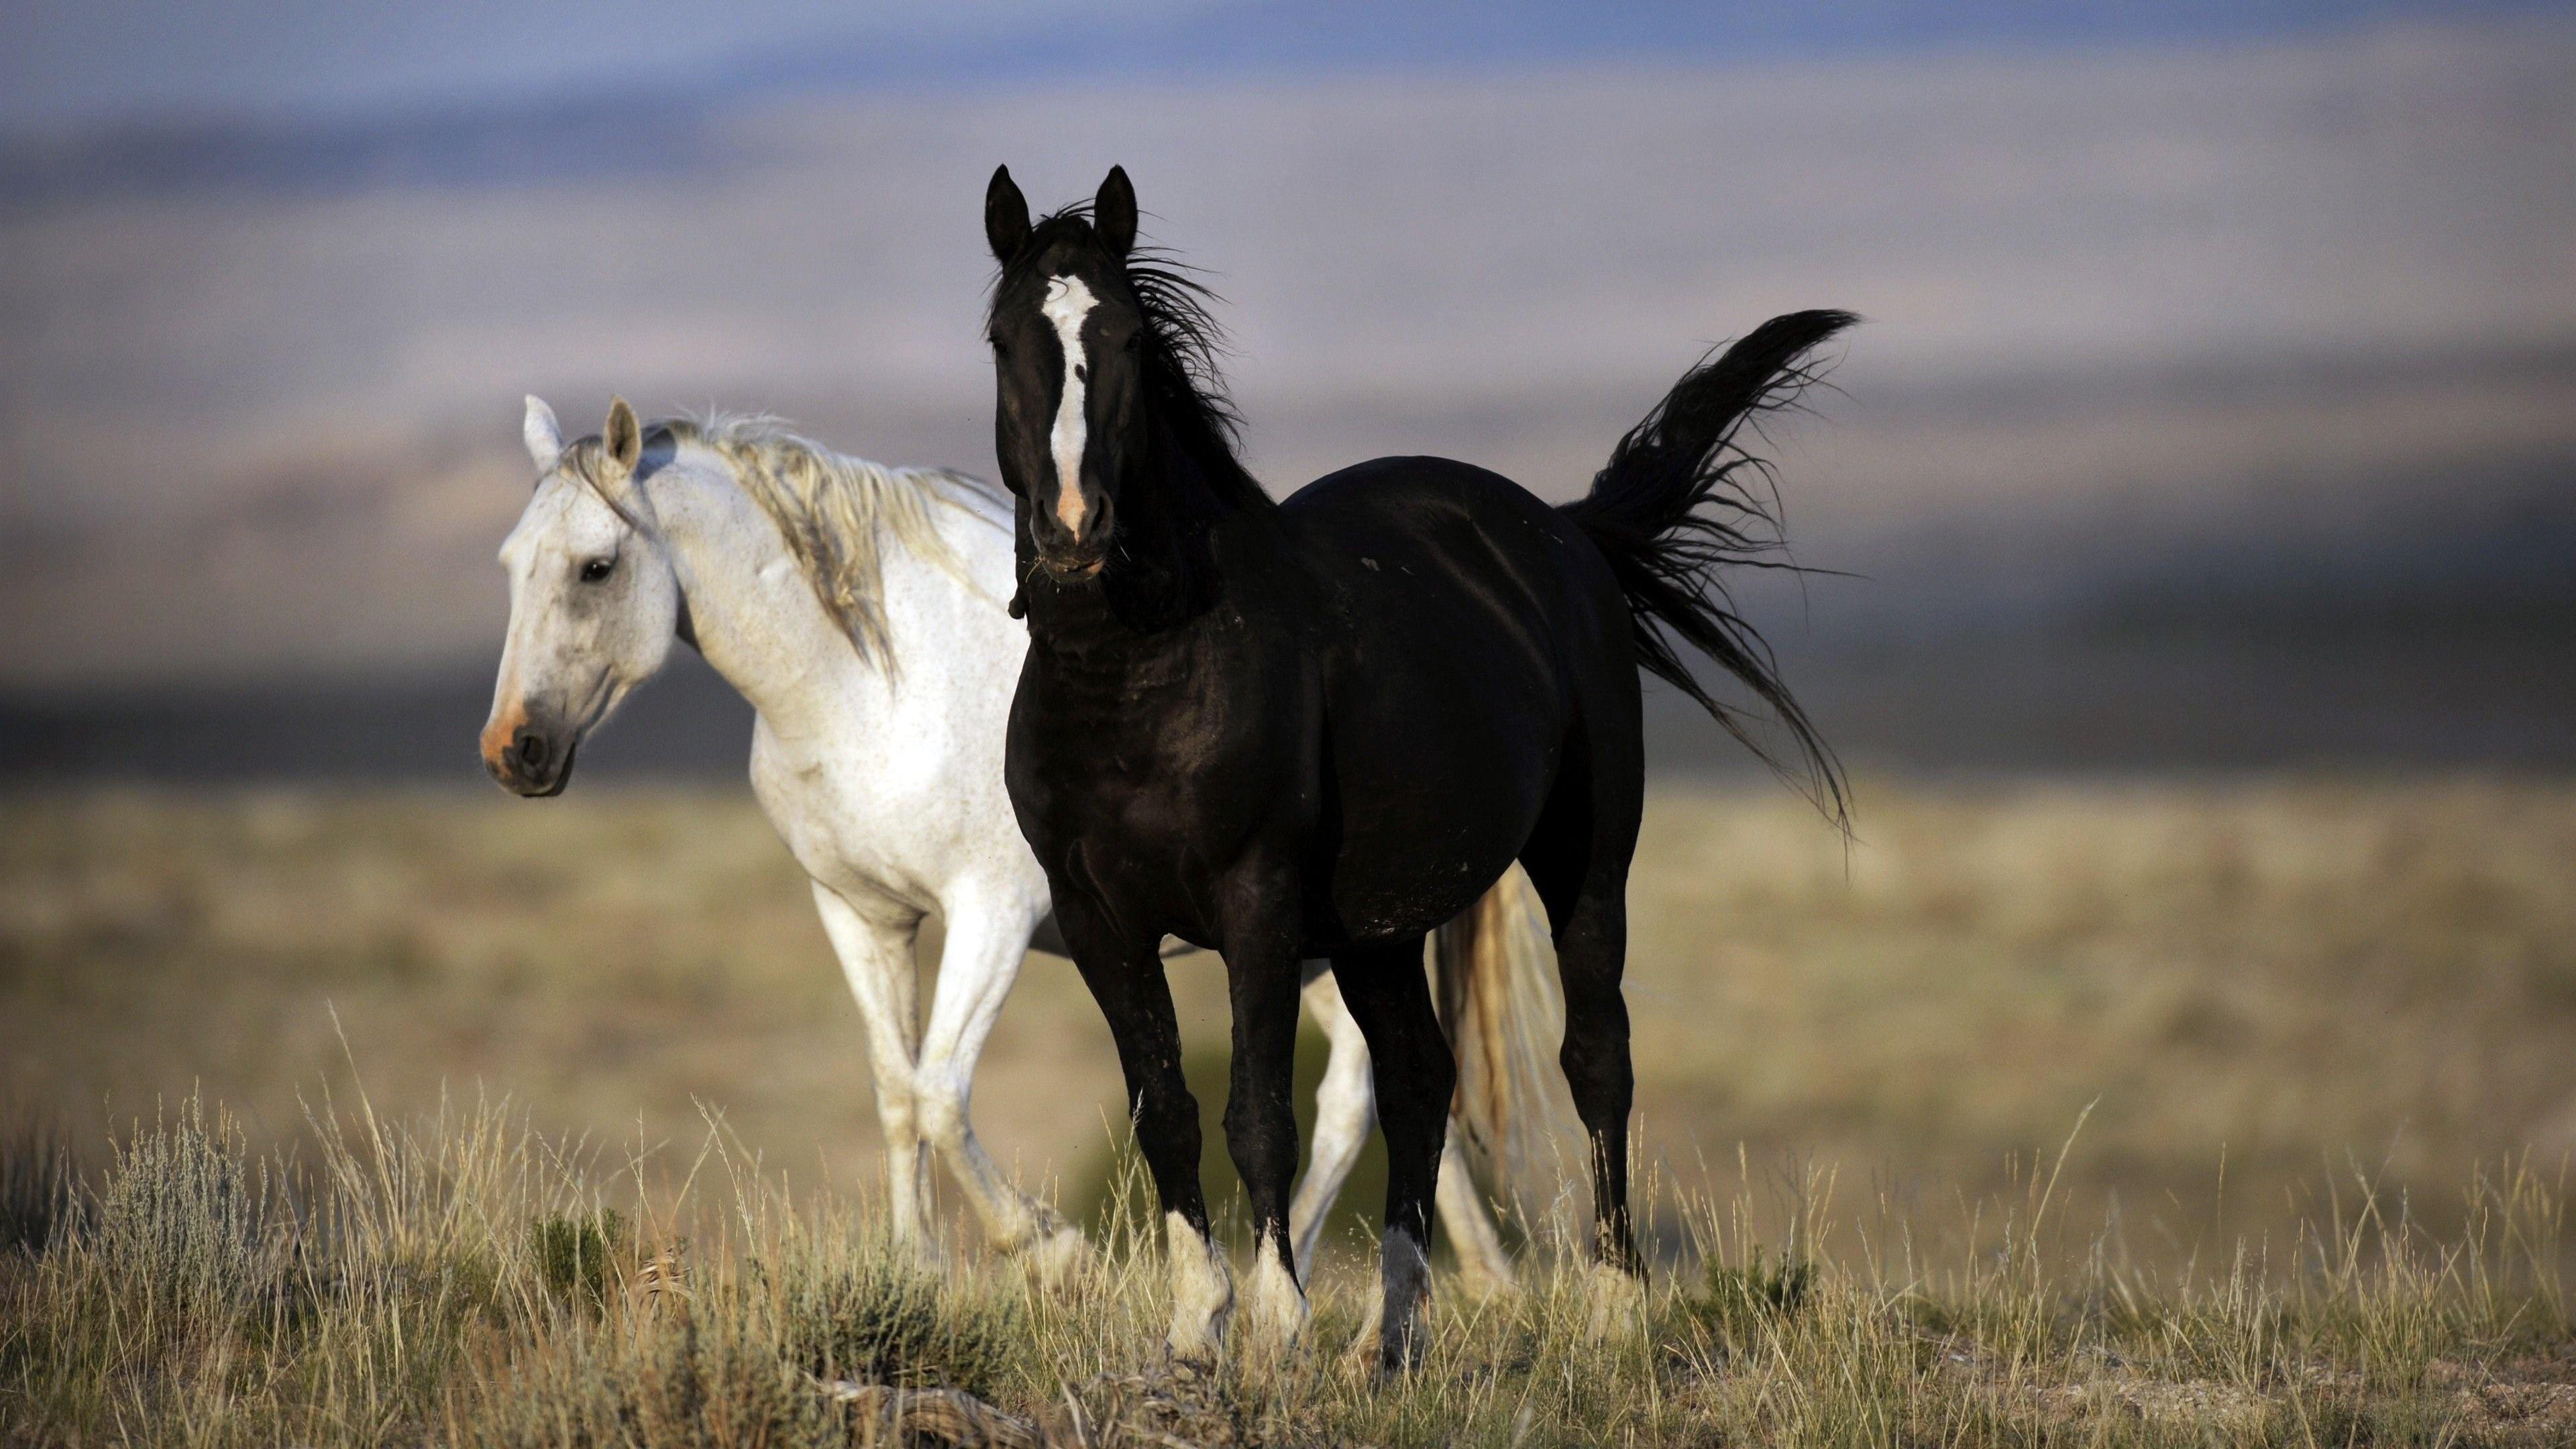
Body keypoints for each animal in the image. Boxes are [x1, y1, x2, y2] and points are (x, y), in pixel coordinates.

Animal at [489, 394, 1556, 1284]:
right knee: (1392, 1094)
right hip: (1318, 947)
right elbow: (895, 1091)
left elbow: (941, 1094)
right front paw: (916, 1275)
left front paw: (1051, 1252)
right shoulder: (862, 916)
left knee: (1355, 1097)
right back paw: (1473, 1289)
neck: (875, 684)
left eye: (596, 566)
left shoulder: (993, 914)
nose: (515, 750)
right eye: (509, 564)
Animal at [973, 164, 1844, 1361]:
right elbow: (1167, 1109)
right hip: (1375, 929)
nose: (1073, 527)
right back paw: (1389, 1344)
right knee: (1422, 1079)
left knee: (1598, 1058)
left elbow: (1258, 1111)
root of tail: (1565, 532)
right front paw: (1199, 1326)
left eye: (1132, 339)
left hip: (1584, 862)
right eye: (1004, 337)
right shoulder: (1099, 916)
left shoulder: (1255, 901)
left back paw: (1613, 1309)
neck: (1139, 679)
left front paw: (1276, 1325)